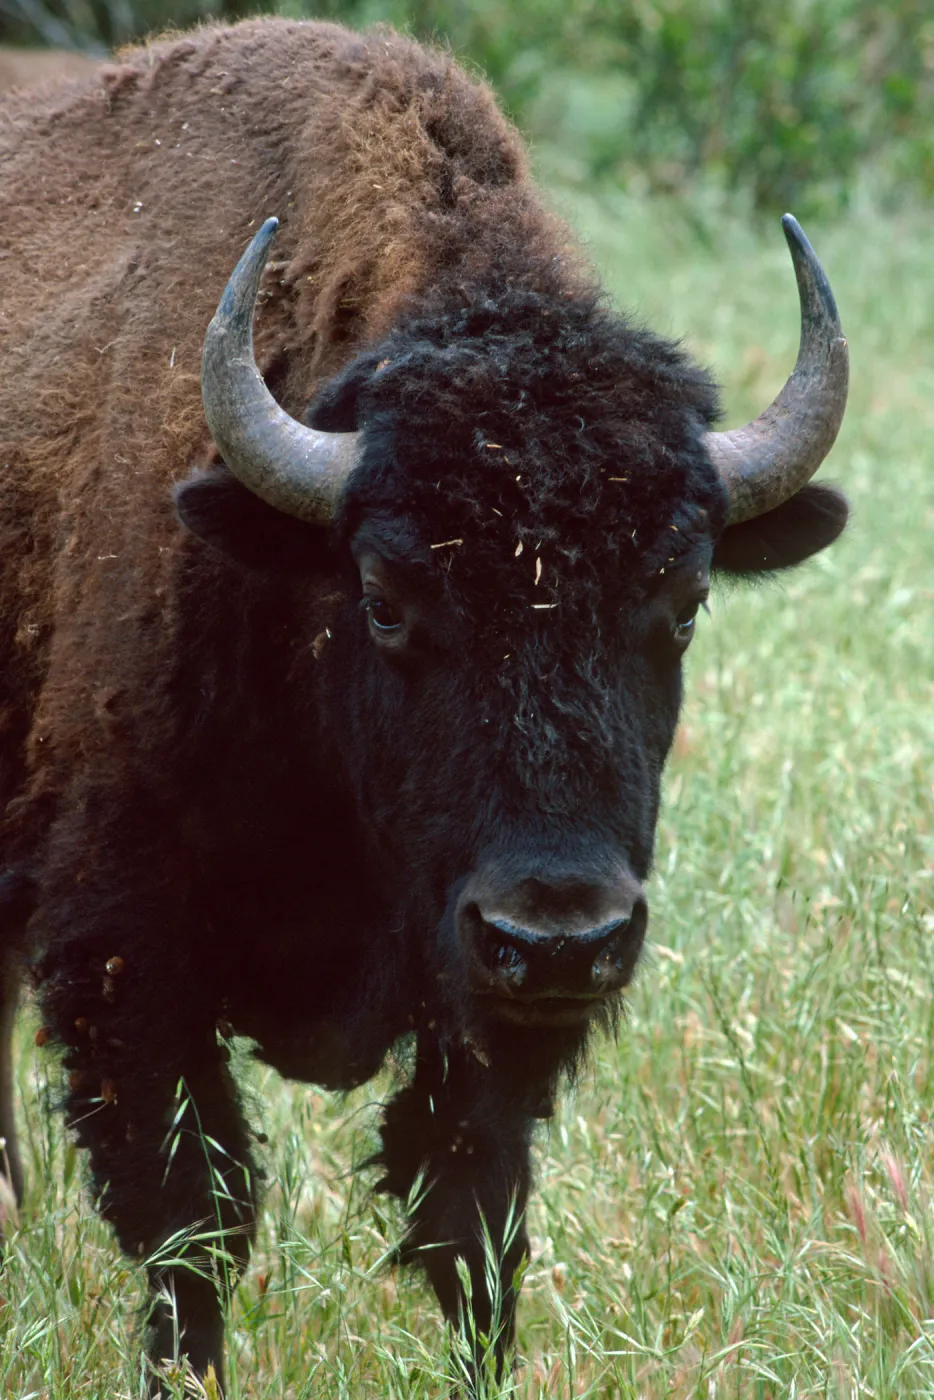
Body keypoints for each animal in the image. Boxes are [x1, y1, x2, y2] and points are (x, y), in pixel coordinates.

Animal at [0, 17, 848, 1392]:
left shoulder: (484, 1022)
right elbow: (195, 1218)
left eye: (681, 601)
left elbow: (471, 1220)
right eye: (388, 596)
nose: (557, 934)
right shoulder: (125, 958)